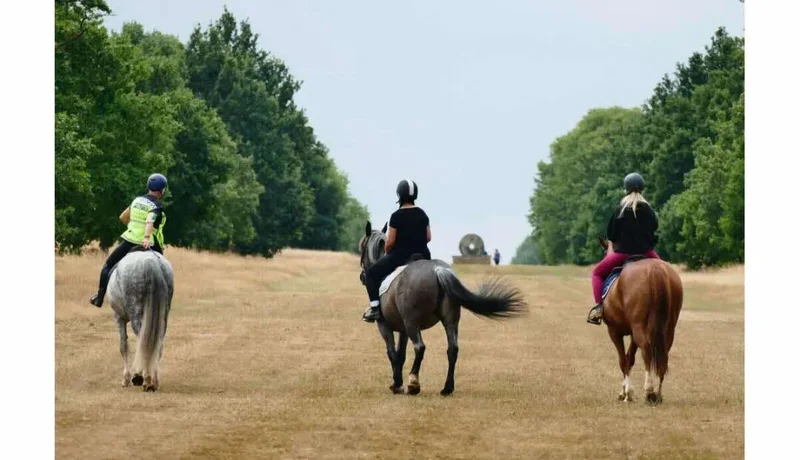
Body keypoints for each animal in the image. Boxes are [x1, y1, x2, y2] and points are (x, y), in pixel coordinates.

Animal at [106, 249, 174, 392]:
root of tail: (150, 262)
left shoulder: (118, 317)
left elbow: (123, 346)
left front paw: (128, 378)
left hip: (136, 312)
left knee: (143, 342)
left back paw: (146, 380)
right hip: (163, 316)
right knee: (158, 344)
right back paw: (154, 381)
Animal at [359, 221, 527, 396]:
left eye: (362, 246)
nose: (363, 277)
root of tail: (438, 270)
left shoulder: (385, 326)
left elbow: (392, 352)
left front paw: (397, 384)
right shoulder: (402, 330)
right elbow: (401, 354)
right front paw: (397, 380)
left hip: (412, 322)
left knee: (420, 347)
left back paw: (413, 384)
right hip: (450, 320)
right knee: (452, 349)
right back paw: (447, 388)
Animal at [596, 237, 683, 405]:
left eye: (603, 253)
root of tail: (655, 269)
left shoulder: (614, 332)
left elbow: (623, 360)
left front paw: (626, 393)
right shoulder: (632, 333)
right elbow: (630, 358)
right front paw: (625, 392)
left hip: (638, 326)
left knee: (647, 350)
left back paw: (649, 391)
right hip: (668, 327)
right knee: (663, 353)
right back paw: (658, 394)